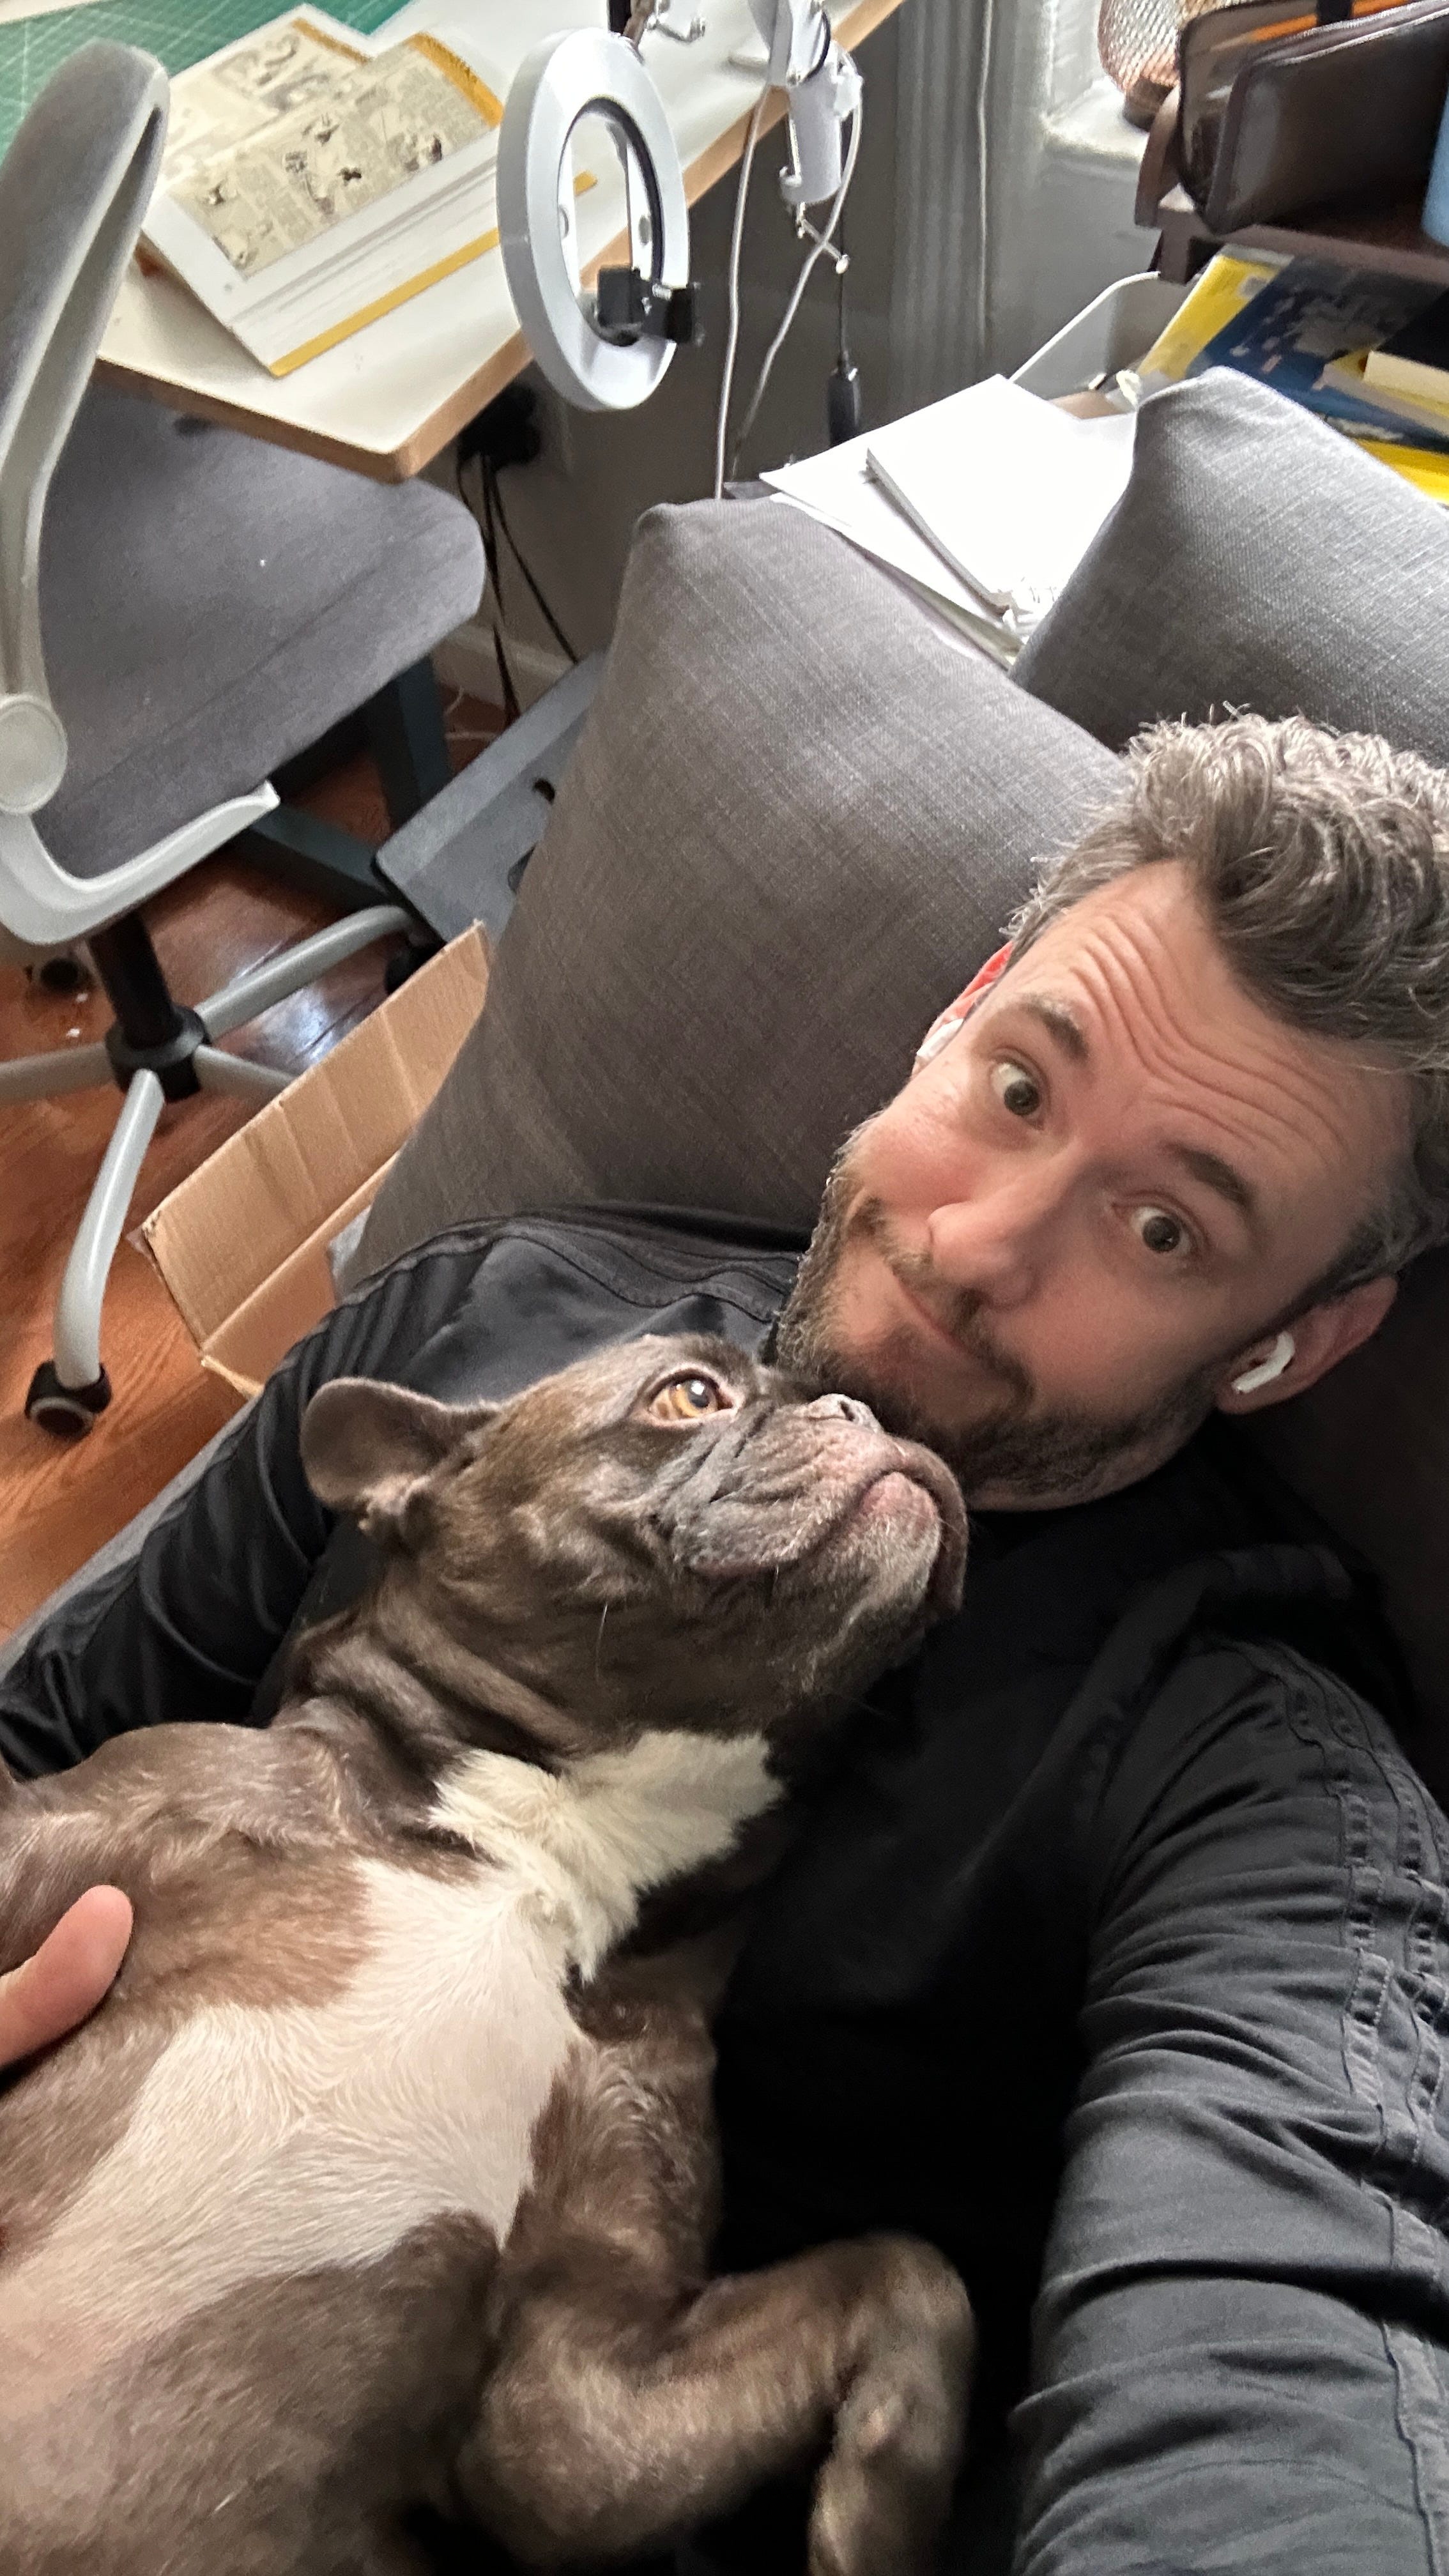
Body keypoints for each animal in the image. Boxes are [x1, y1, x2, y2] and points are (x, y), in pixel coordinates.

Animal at [0, 1334, 973, 2575]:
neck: (532, 1857)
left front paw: (879, 2512)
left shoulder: (572, 2406)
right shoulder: (80, 1834)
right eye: (689, 1394)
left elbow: (909, 2267)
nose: (865, 1408)